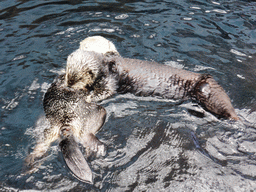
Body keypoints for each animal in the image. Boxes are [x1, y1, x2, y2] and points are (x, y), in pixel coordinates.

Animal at [67, 36, 239, 120]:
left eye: (84, 46)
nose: (68, 84)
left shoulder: (110, 77)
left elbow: (106, 91)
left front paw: (88, 97)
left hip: (209, 89)